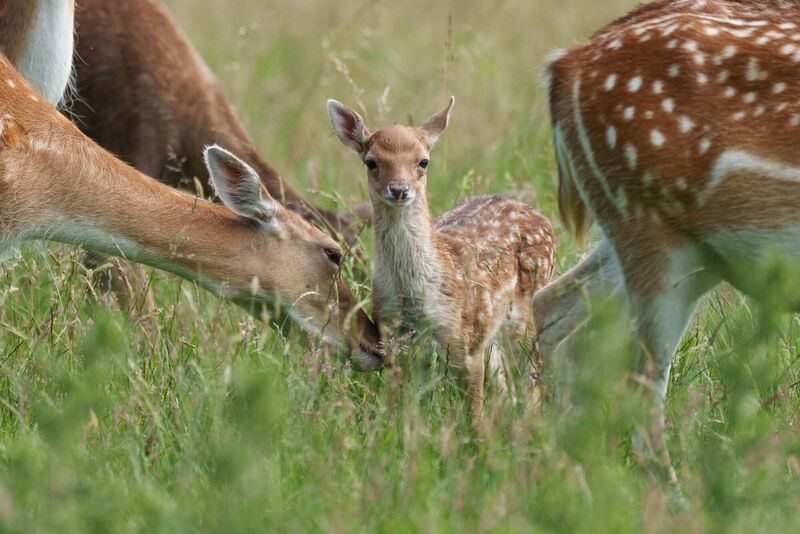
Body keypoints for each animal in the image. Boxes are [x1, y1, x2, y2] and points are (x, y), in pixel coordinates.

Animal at [327, 97, 556, 427]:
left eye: (423, 162)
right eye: (371, 162)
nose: (399, 189)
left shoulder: (463, 340)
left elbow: (474, 414)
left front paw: (480, 439)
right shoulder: (391, 336)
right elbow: (400, 405)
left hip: (527, 307)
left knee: (532, 378)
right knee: (504, 377)